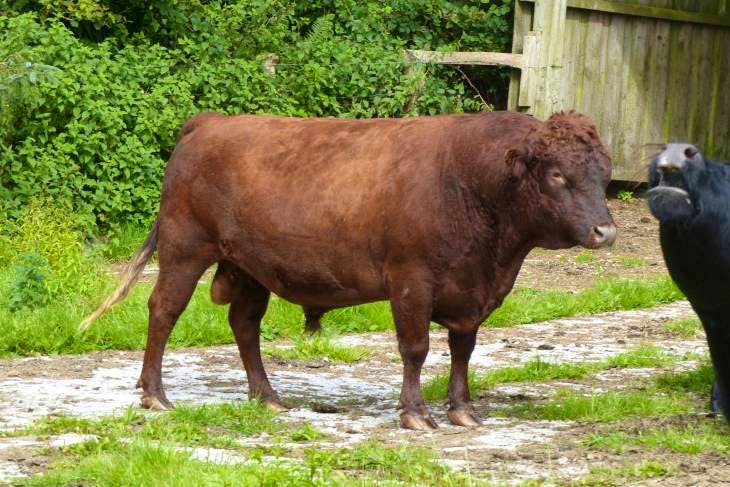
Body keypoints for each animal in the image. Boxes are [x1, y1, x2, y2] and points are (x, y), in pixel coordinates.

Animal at [81, 110, 616, 431]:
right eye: (557, 175)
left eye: (604, 174)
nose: (605, 231)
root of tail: (211, 120)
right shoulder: (411, 282)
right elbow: (416, 349)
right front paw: (415, 414)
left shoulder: (472, 292)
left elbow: (463, 350)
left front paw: (462, 410)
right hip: (184, 250)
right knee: (163, 311)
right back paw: (155, 396)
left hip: (249, 268)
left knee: (244, 325)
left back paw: (267, 396)